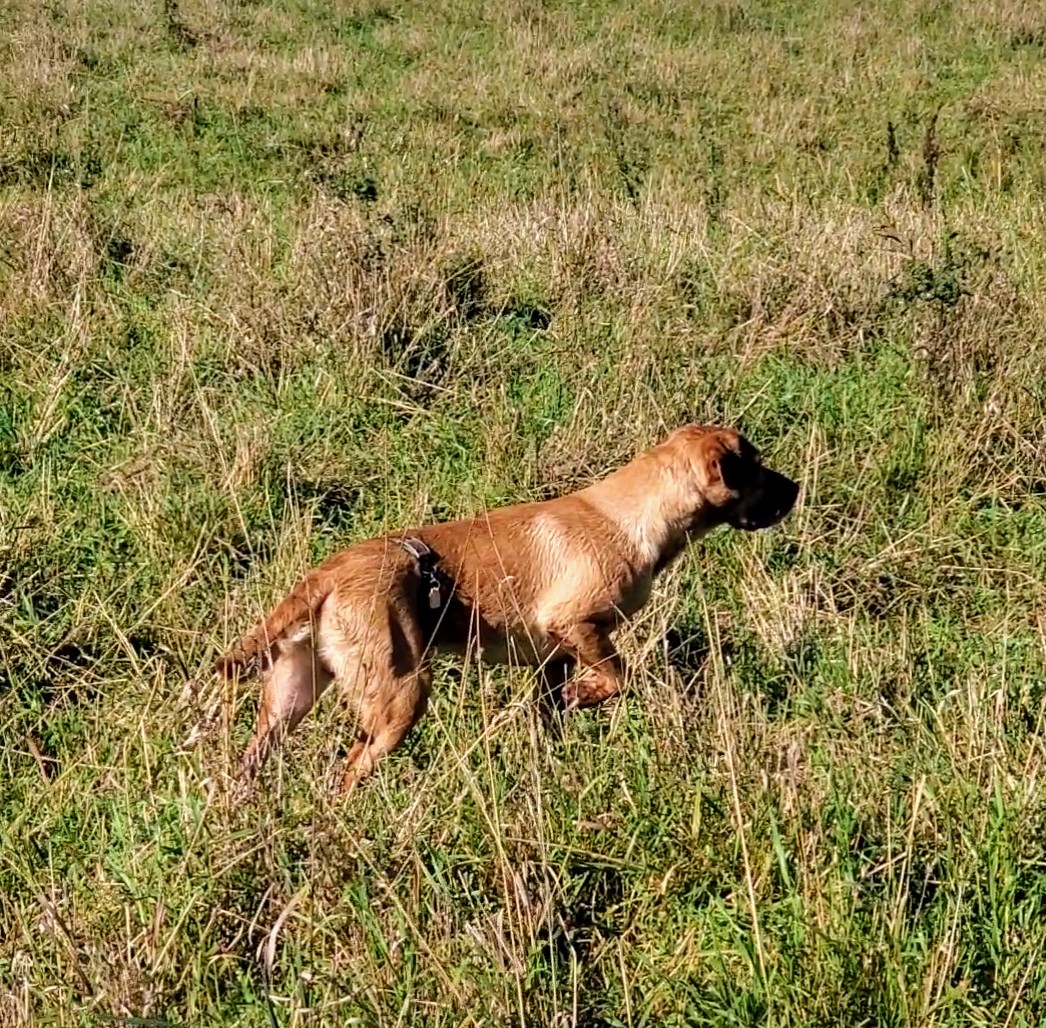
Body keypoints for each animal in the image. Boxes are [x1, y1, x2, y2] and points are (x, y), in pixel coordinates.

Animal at [216, 426, 794, 794]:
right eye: (756, 467)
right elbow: (617, 677)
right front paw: (587, 696)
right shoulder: (578, 625)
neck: (633, 516)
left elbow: (554, 713)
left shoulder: (551, 661)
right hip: (402, 693)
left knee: (255, 759)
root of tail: (329, 572)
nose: (797, 488)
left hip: (291, 696)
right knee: (351, 770)